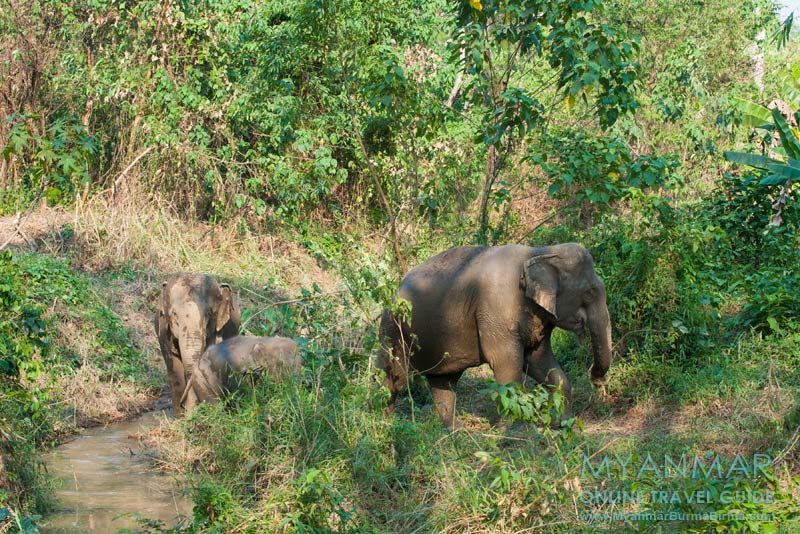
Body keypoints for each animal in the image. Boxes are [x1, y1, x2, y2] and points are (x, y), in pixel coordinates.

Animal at [154, 273, 241, 415]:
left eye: (208, 314)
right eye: (174, 314)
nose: (183, 404)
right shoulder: (163, 331)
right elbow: (175, 370)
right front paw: (183, 416)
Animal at [379, 243, 612, 428]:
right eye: (590, 292)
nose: (596, 380)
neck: (539, 252)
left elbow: (540, 360)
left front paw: (563, 423)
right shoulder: (495, 310)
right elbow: (506, 363)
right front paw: (512, 429)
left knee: (443, 383)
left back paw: (455, 431)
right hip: (392, 332)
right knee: (393, 380)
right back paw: (385, 424)